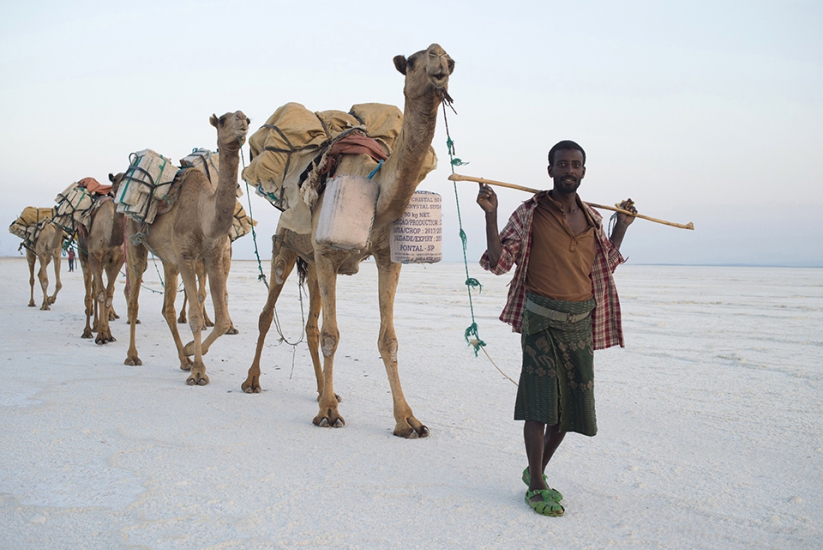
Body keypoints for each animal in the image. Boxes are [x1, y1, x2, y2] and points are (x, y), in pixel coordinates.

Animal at [78, 172, 125, 344]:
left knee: (97, 287)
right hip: (83, 256)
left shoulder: (117, 260)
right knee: (89, 292)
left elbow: (109, 293)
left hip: (104, 264)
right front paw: (101, 336)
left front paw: (108, 334)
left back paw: (97, 326)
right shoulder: (94, 256)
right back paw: (88, 331)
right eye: (116, 180)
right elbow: (100, 293)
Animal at [124, 112, 249, 388]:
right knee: (134, 298)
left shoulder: (213, 257)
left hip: (169, 261)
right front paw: (199, 372)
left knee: (167, 309)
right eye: (223, 119)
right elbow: (194, 316)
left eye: (247, 117)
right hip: (134, 241)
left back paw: (183, 359)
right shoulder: (186, 257)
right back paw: (132, 356)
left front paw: (192, 350)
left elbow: (222, 320)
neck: (204, 216)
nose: (242, 121)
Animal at [241, 43, 454, 440]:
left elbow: (388, 339)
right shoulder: (326, 252)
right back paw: (253, 381)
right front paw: (328, 414)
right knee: (267, 313)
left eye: (451, 61)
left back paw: (324, 390)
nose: (440, 68)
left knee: (310, 326)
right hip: (286, 247)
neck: (377, 193)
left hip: (313, 265)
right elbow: (332, 334)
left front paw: (407, 420)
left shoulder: (385, 258)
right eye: (413, 62)